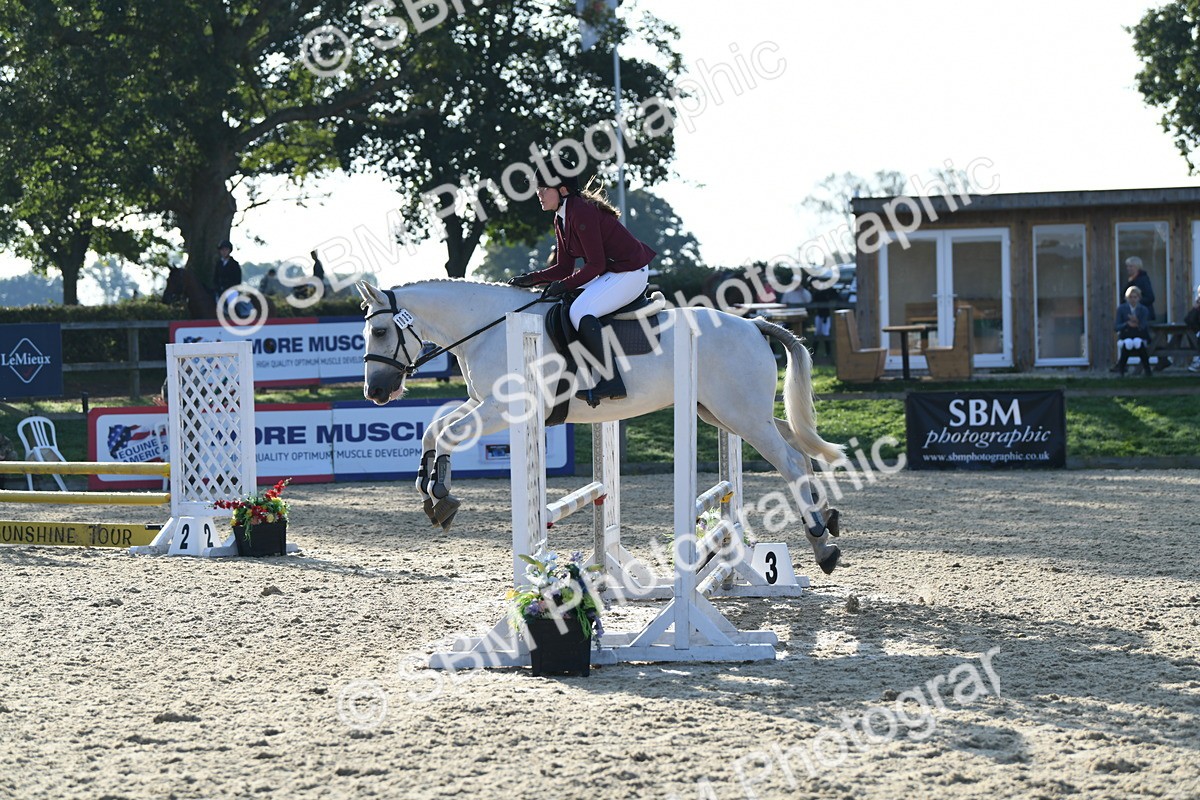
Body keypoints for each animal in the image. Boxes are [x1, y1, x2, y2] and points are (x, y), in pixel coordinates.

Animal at [356, 279, 846, 575]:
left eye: (379, 333)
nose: (375, 392)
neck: (488, 327)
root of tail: (754, 324)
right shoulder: (482, 402)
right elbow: (433, 430)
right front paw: (430, 490)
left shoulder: (502, 408)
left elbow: (447, 433)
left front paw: (440, 496)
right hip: (726, 412)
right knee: (798, 447)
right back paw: (828, 519)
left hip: (741, 415)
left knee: (789, 461)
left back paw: (822, 545)